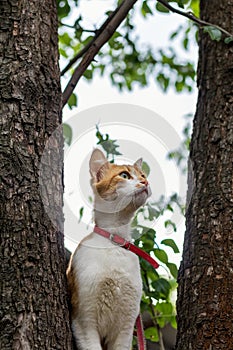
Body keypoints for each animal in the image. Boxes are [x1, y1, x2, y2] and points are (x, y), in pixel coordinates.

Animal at [66, 148, 152, 350]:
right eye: (124, 175)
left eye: (143, 175)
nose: (145, 182)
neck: (115, 242)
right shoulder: (84, 322)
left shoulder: (125, 329)